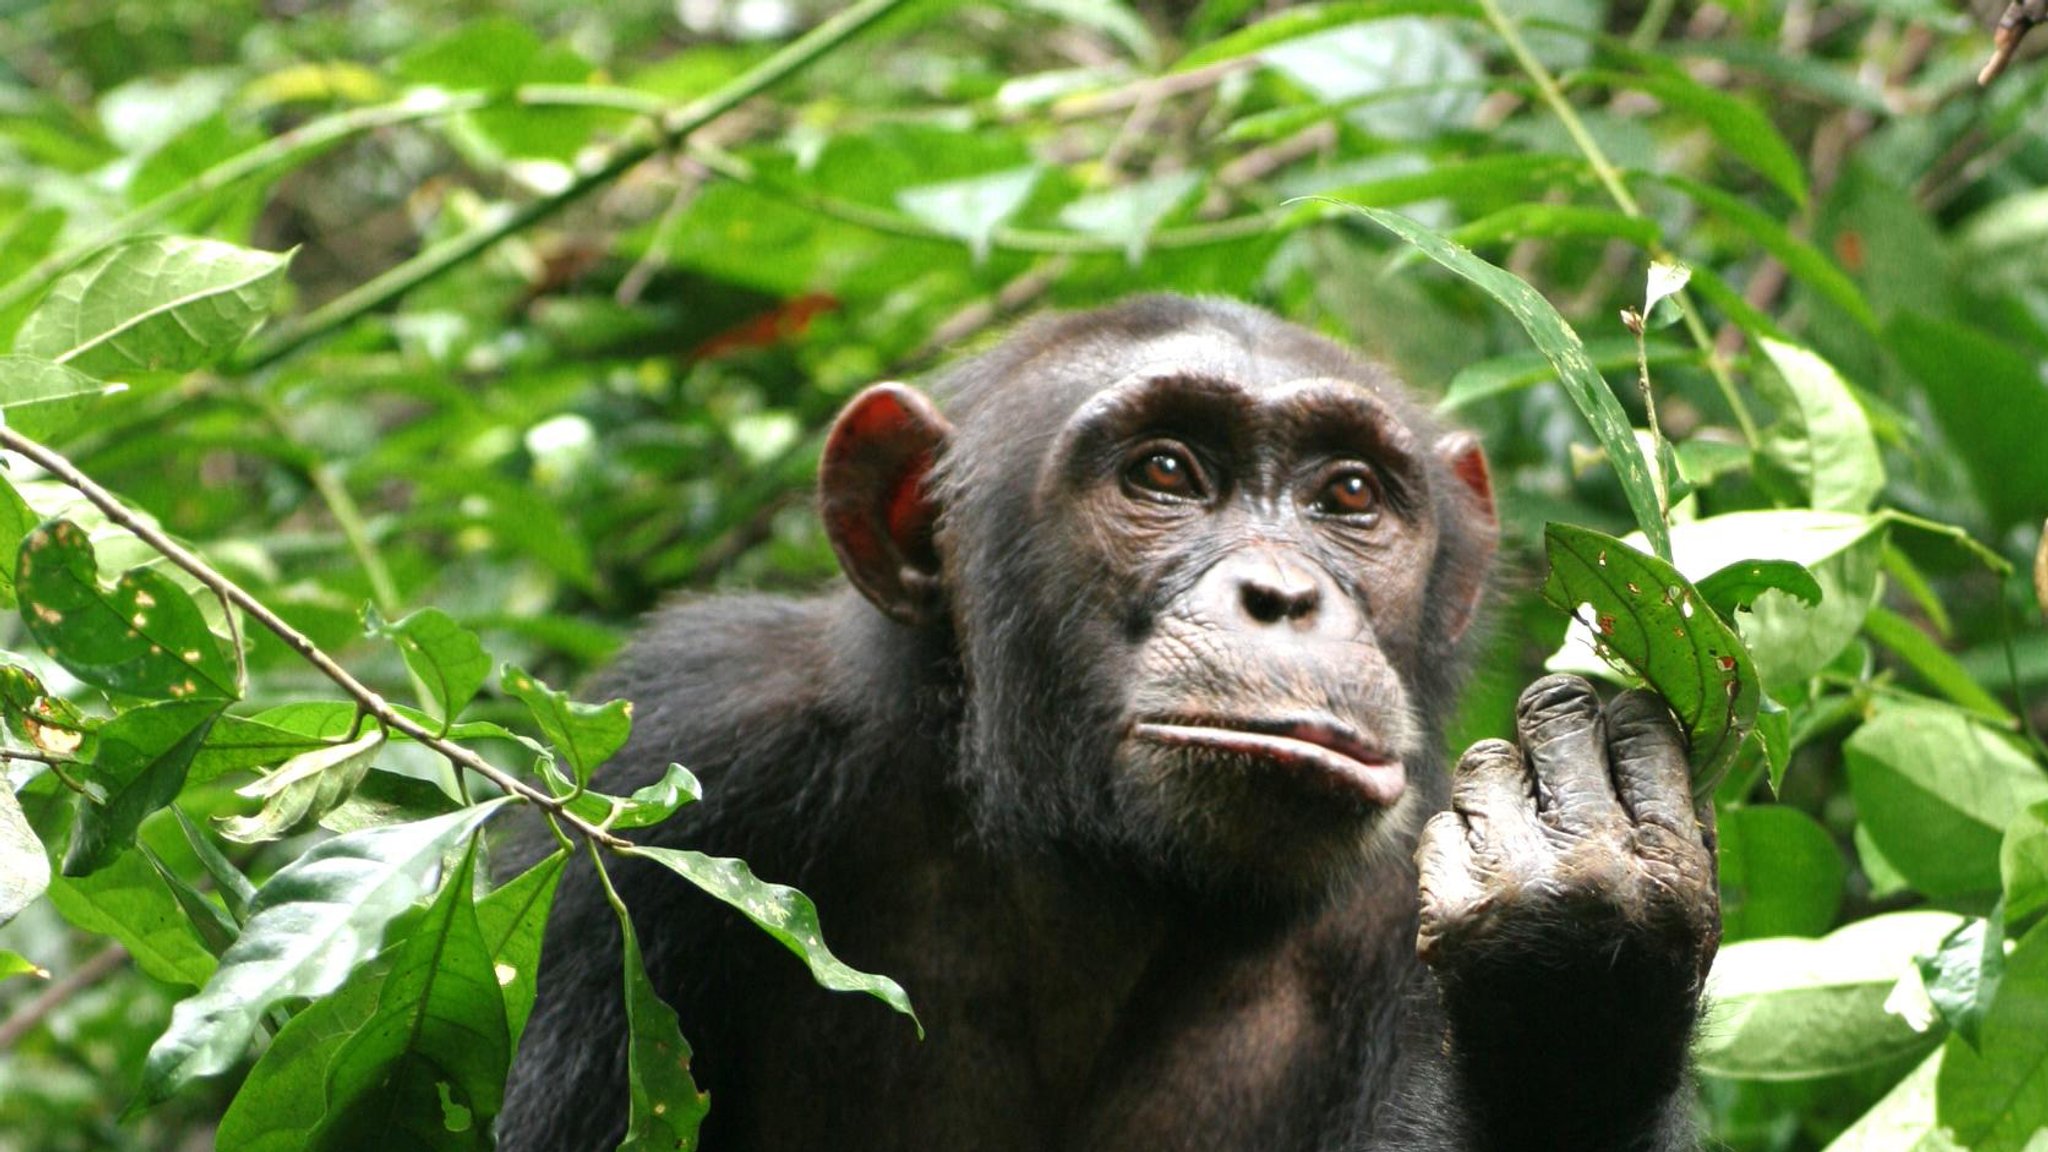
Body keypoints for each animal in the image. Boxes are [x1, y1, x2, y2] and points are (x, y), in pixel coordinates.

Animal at [503, 295, 1720, 1147]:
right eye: (1166, 472)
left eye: (1348, 496)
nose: (1283, 594)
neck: (1091, 862)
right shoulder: (678, 754)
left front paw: (1576, 937)